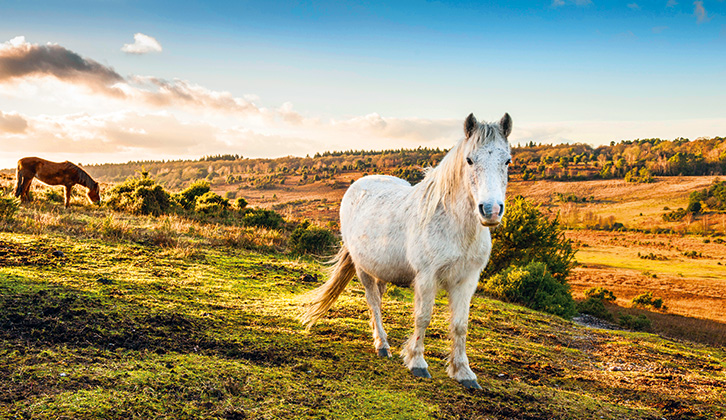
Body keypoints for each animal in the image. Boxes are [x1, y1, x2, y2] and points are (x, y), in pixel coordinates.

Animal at [300, 112, 512, 390]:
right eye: (469, 160)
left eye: (507, 161)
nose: (491, 210)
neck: (454, 224)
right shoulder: (426, 277)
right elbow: (423, 317)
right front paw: (417, 363)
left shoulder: (467, 280)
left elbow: (460, 325)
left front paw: (464, 373)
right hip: (363, 268)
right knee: (373, 302)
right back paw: (382, 345)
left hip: (382, 270)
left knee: (378, 300)